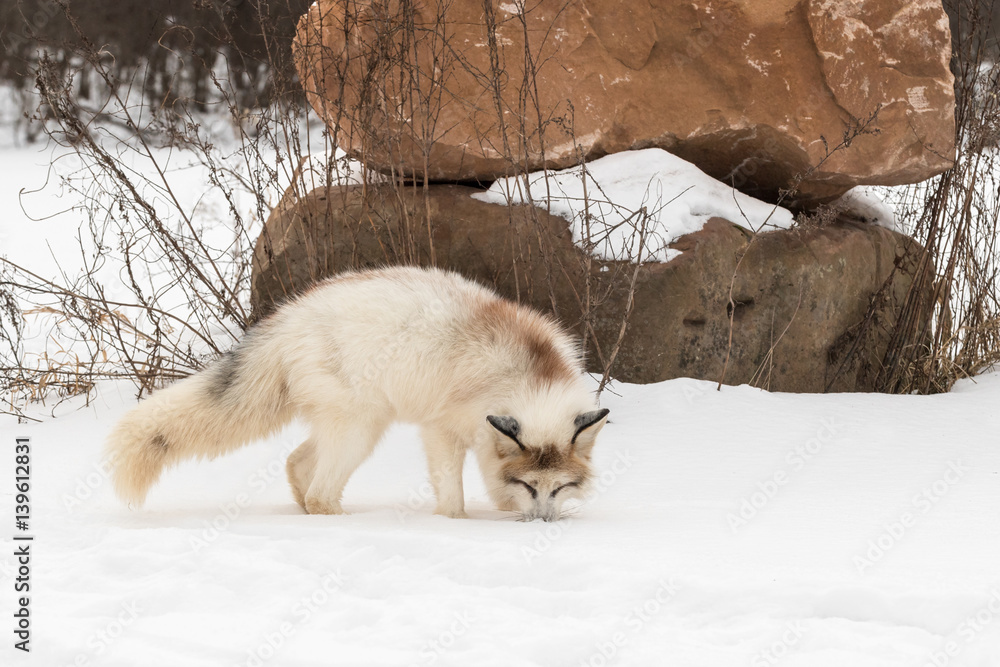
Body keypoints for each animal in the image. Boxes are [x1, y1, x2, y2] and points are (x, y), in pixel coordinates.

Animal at [105, 266, 610, 521]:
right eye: (528, 485)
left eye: (559, 487)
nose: (541, 526)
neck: (526, 377)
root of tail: (287, 318)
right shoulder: (441, 429)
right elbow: (453, 497)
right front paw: (456, 527)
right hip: (360, 431)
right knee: (320, 493)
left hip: (353, 426)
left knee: (297, 464)